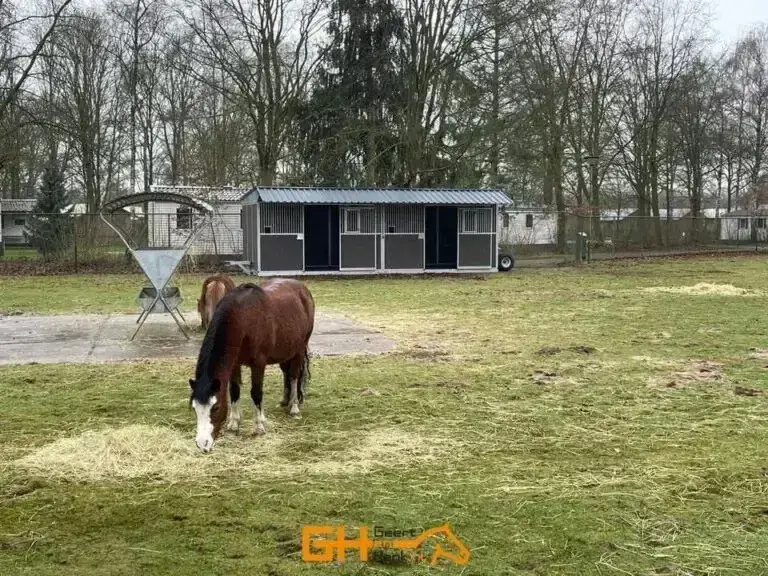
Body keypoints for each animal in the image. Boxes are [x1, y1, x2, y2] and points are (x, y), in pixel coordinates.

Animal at [189, 278, 315, 453]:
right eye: (194, 408)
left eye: (216, 407)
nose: (203, 444)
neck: (243, 319)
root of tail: (303, 289)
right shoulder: (234, 364)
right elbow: (234, 391)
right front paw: (234, 422)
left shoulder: (258, 364)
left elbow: (256, 393)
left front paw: (259, 426)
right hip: (285, 351)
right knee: (286, 373)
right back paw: (284, 400)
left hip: (299, 350)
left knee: (294, 376)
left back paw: (294, 407)